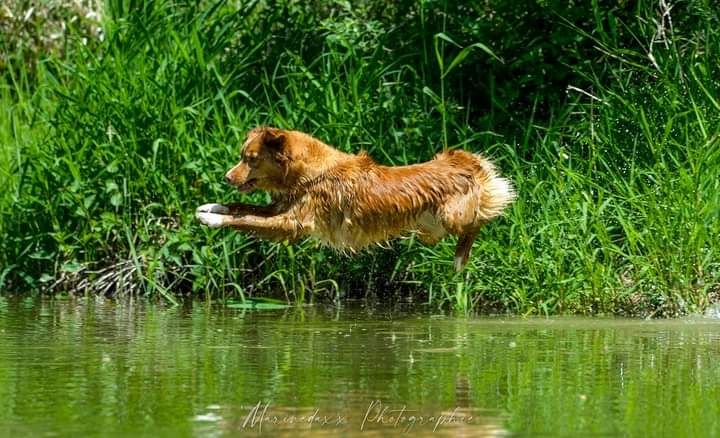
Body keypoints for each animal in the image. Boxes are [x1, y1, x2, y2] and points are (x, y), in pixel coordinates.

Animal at [194, 126, 516, 270]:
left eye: (250, 159)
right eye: (242, 157)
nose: (227, 177)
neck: (310, 173)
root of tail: (465, 162)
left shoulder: (293, 224)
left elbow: (246, 219)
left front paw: (213, 220)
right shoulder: (280, 207)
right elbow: (243, 208)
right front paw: (213, 206)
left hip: (451, 216)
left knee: (480, 221)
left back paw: (461, 257)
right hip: (430, 231)